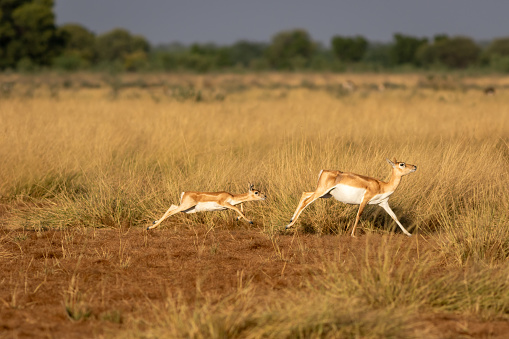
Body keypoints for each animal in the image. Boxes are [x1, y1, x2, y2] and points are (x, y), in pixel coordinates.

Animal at [284, 159, 414, 236]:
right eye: (402, 164)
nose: (415, 166)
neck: (382, 186)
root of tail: (323, 171)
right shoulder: (364, 200)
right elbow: (358, 215)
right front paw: (352, 234)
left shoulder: (383, 203)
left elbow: (394, 216)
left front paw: (408, 233)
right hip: (321, 192)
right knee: (306, 201)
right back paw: (288, 225)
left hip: (325, 194)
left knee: (304, 194)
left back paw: (290, 221)